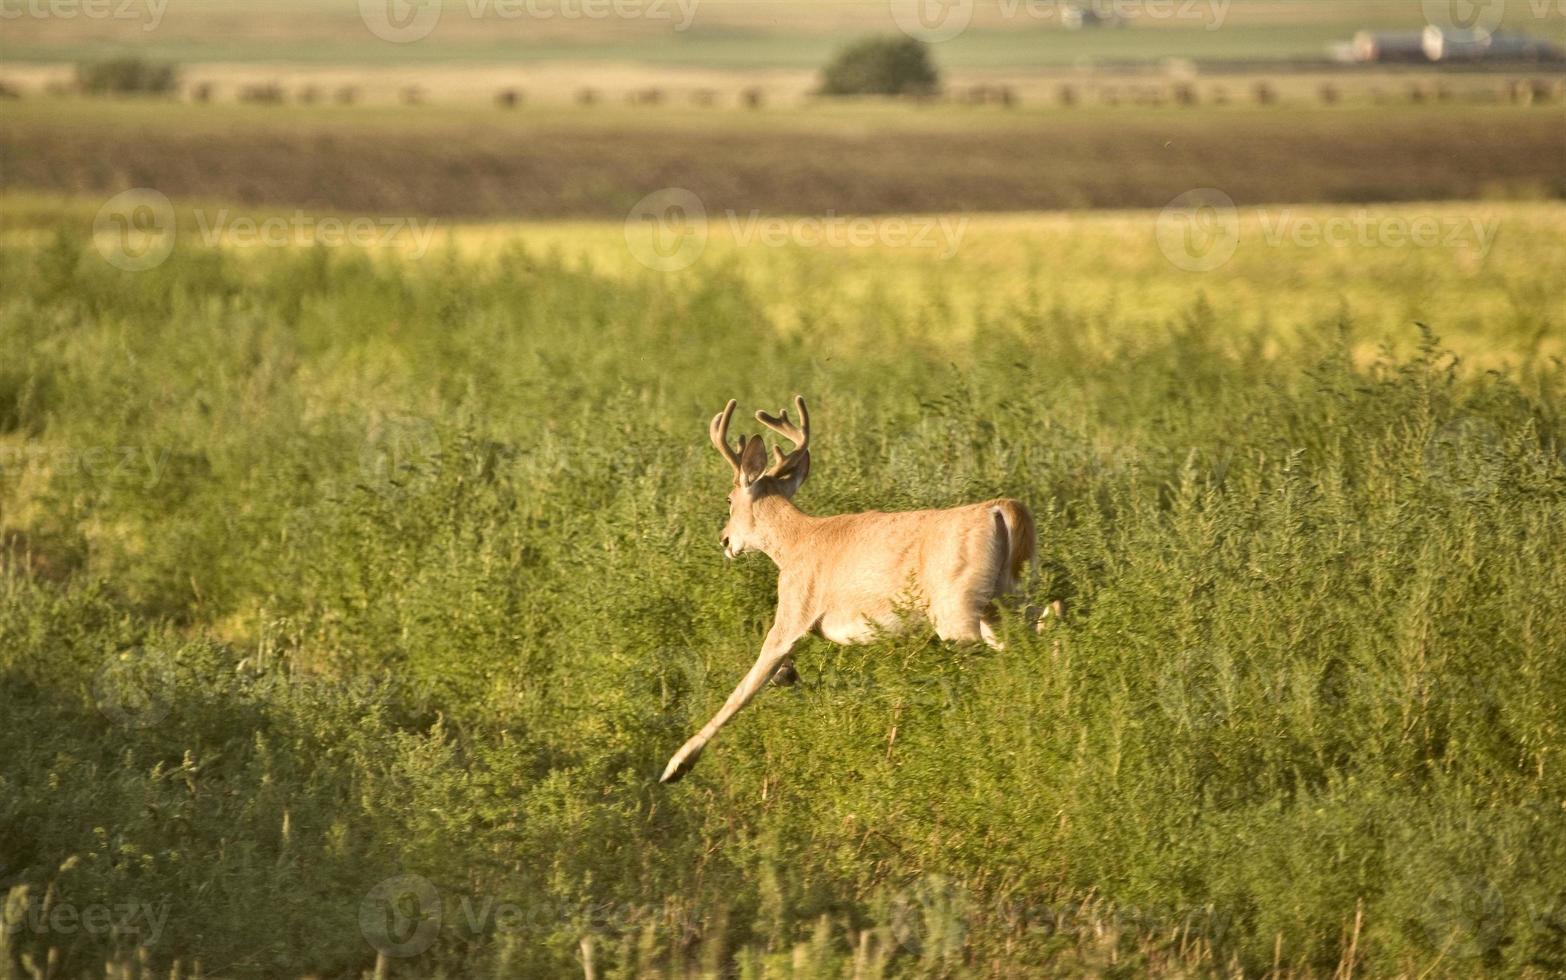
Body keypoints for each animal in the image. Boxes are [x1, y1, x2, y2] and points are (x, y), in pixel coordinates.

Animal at [660, 392, 1039, 782]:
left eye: (728, 499)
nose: (724, 540)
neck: (795, 543)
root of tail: (1000, 509)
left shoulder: (793, 611)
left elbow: (744, 689)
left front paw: (677, 764)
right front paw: (787, 674)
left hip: (957, 608)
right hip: (1007, 594)